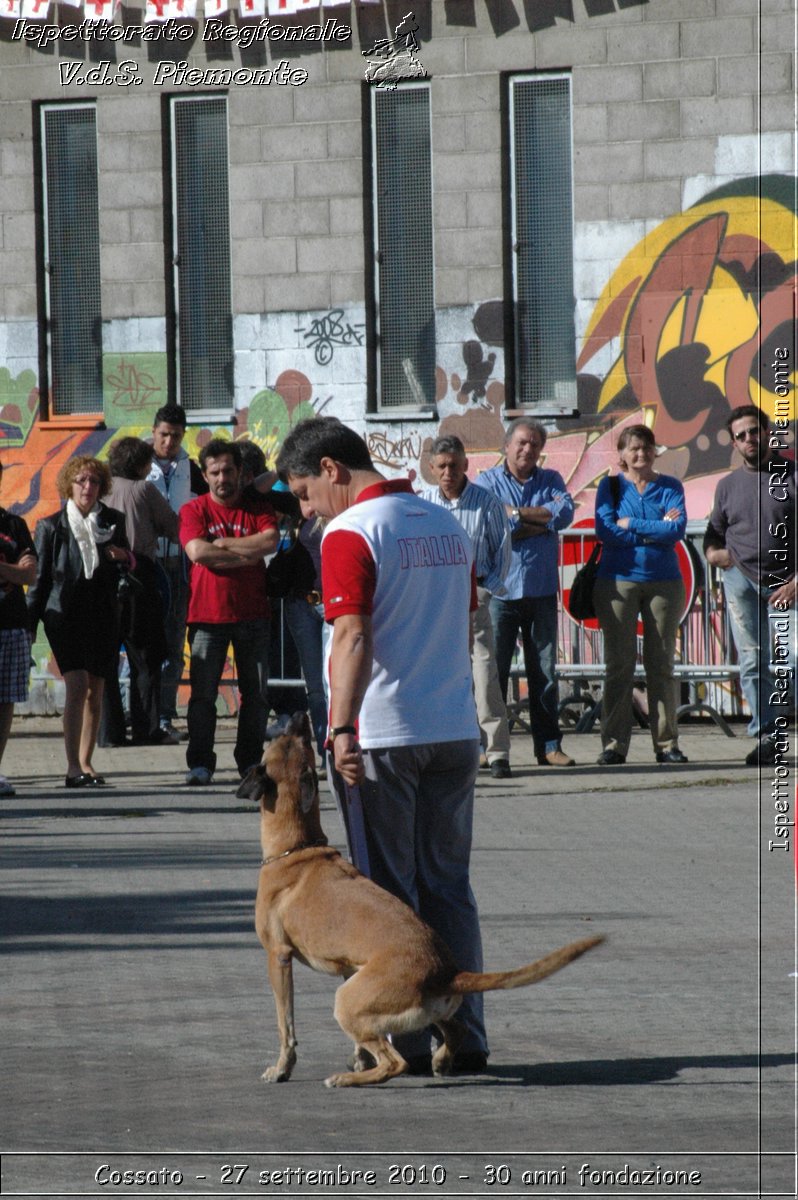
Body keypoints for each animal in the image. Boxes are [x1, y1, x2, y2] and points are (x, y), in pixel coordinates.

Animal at [240, 715, 600, 1094]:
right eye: (298, 742)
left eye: (282, 739)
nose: (298, 717)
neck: (297, 848)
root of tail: (446, 972)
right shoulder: (350, 968)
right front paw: (357, 1058)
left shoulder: (278, 958)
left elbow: (286, 1025)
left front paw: (282, 1068)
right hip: (414, 1008)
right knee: (456, 1029)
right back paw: (440, 1060)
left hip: (347, 1002)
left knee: (394, 1062)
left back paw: (350, 1078)